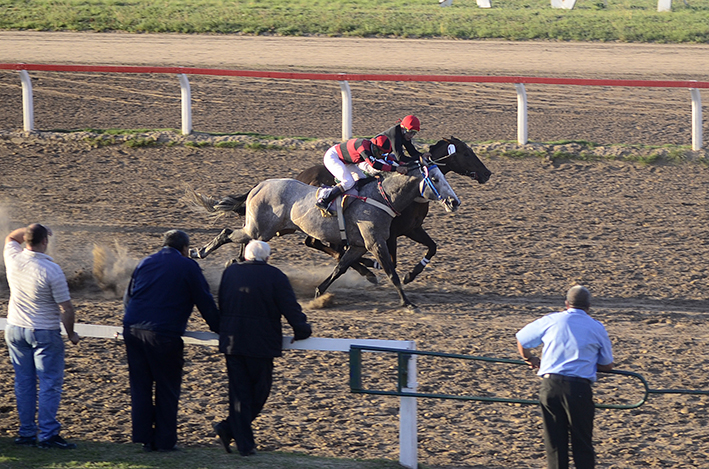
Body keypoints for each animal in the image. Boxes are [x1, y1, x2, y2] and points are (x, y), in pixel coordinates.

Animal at [188, 163, 460, 308]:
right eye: (436, 179)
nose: (454, 202)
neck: (381, 197)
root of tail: (259, 185)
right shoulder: (376, 242)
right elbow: (391, 271)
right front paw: (407, 302)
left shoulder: (360, 245)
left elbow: (341, 266)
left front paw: (320, 292)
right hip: (259, 228)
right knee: (227, 233)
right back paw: (199, 251)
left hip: (271, 230)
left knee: (241, 244)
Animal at [296, 135, 490, 282]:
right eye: (466, 153)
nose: (487, 173)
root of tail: (301, 176)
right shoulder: (390, 233)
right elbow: (392, 261)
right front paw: (374, 265)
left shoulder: (412, 228)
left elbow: (432, 247)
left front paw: (410, 275)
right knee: (321, 245)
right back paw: (366, 271)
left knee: (320, 245)